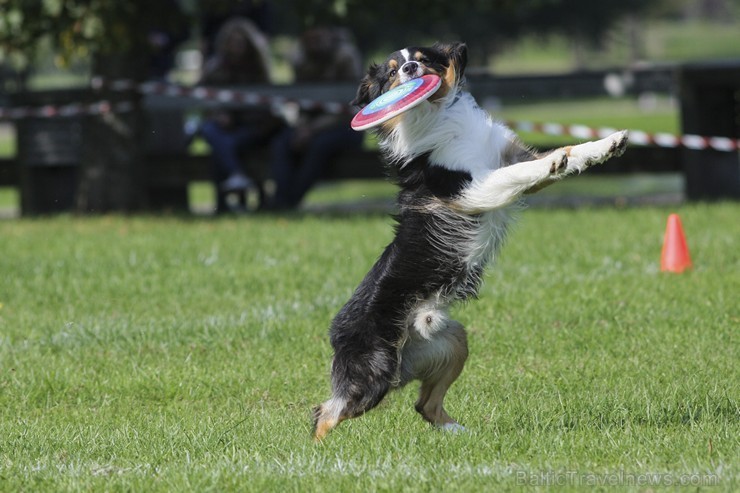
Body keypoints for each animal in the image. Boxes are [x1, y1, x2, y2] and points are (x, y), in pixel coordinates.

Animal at [310, 40, 628, 436]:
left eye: (423, 58)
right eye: (392, 71)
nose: (411, 69)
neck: (437, 116)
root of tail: (335, 329)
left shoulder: (507, 155)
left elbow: (567, 152)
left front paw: (607, 144)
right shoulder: (474, 189)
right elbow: (526, 171)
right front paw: (554, 161)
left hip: (451, 341)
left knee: (424, 405)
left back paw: (460, 434)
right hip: (373, 372)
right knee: (325, 412)